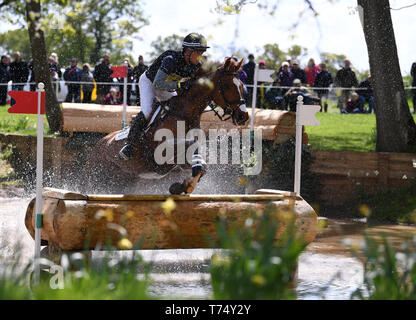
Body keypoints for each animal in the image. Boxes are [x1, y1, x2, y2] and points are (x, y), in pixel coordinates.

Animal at [80, 56, 250, 194]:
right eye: (227, 86)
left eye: (242, 85)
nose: (244, 116)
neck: (184, 114)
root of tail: (102, 142)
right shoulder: (159, 155)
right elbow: (190, 144)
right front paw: (183, 186)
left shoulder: (179, 162)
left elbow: (201, 166)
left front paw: (181, 187)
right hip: (94, 173)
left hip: (122, 180)